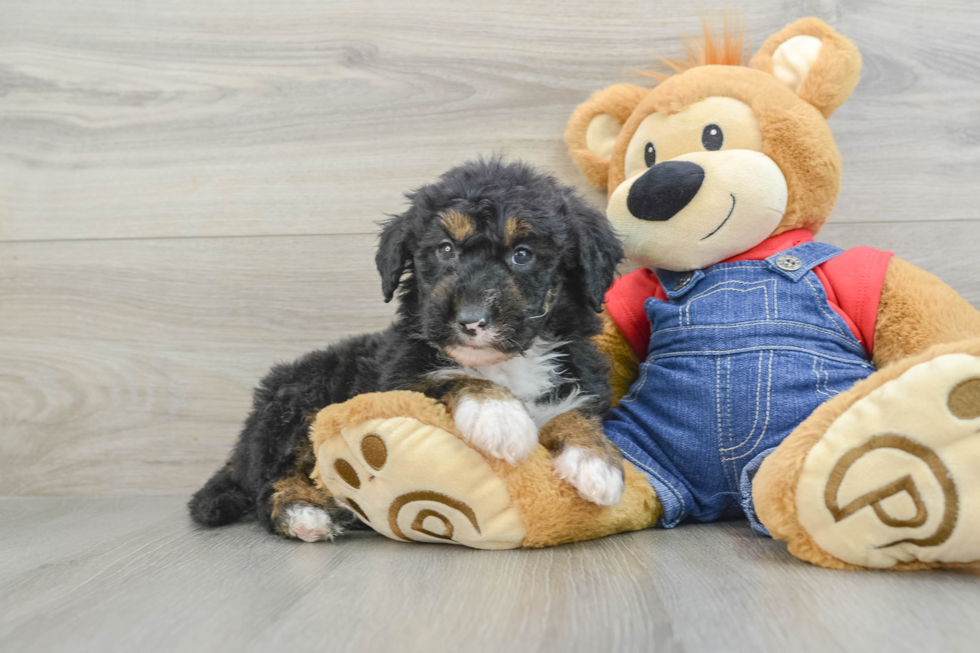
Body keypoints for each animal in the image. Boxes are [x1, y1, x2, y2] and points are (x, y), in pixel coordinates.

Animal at [188, 158, 624, 540]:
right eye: (445, 249)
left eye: (522, 255)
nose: (471, 319)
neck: (503, 365)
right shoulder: (399, 379)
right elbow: (453, 376)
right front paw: (499, 416)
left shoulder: (579, 379)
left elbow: (577, 413)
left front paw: (596, 461)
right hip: (298, 406)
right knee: (272, 483)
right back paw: (306, 514)